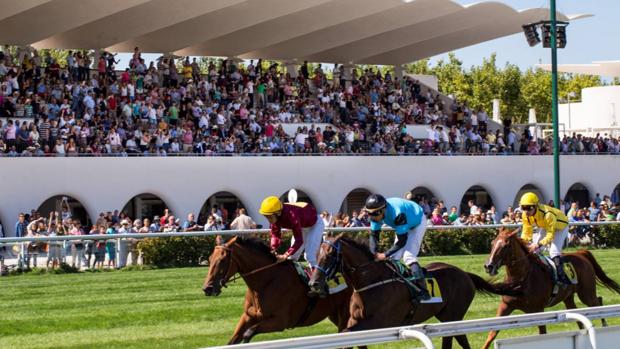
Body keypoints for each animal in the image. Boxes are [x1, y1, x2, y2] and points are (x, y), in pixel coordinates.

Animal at [203, 235, 358, 344]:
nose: (207, 288)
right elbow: (232, 340)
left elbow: (248, 333)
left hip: (346, 314)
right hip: (334, 314)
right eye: (210, 259)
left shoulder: (281, 321)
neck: (265, 282)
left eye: (222, 260)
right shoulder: (248, 316)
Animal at [308, 234, 520, 348]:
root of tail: (465, 274)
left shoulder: (378, 322)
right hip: (447, 317)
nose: (314, 283)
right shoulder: (355, 320)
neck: (371, 281)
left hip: (453, 316)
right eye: (315, 254)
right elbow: (349, 339)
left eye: (329, 255)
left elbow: (345, 336)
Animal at [482, 227, 620, 346]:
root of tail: (580, 253)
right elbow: (492, 334)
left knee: (598, 302)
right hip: (568, 297)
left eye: (506, 245)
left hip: (586, 293)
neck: (521, 279)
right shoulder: (506, 305)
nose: (489, 266)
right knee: (579, 316)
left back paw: (605, 325)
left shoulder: (538, 311)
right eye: (492, 243)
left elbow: (543, 333)